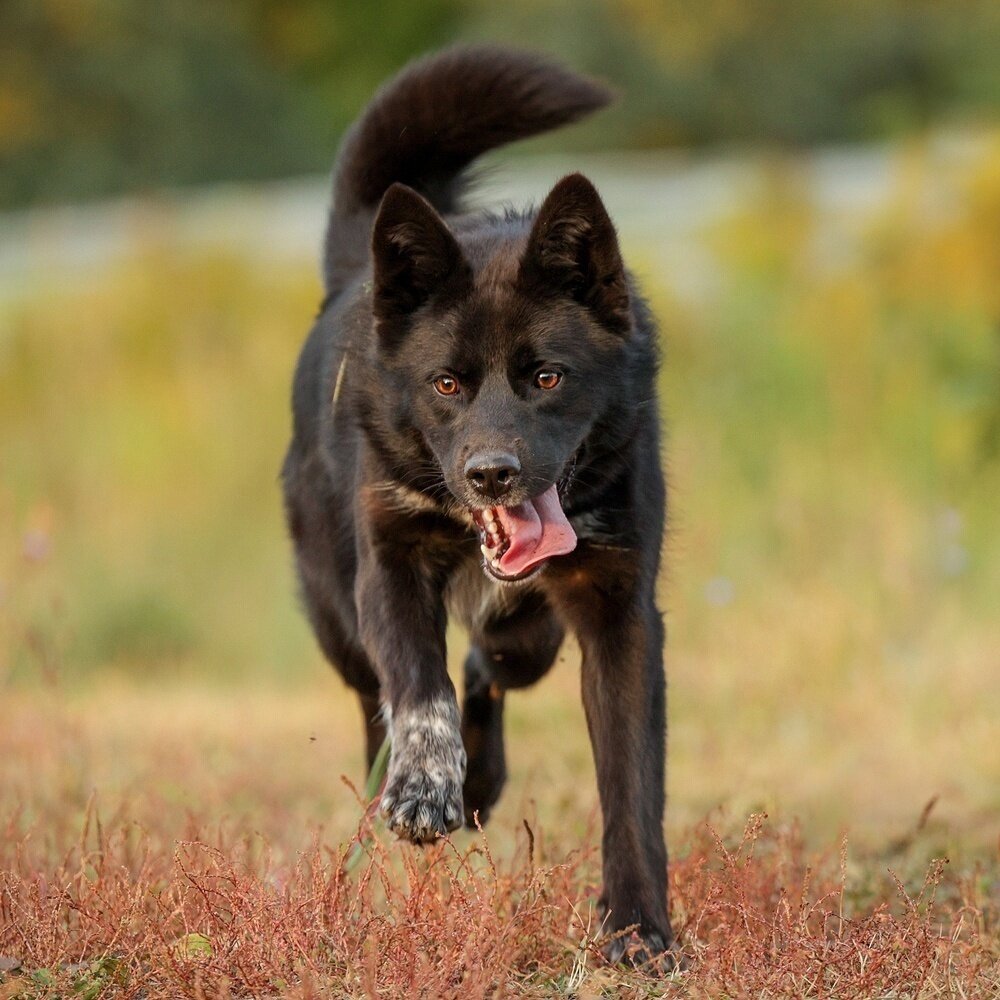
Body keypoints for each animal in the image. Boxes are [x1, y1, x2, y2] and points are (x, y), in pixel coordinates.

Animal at [282, 47, 672, 960]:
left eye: (549, 377)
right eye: (446, 383)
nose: (493, 474)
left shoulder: (620, 608)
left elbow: (630, 788)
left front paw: (639, 931)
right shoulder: (389, 565)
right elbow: (419, 688)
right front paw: (426, 789)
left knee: (499, 660)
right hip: (334, 611)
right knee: (380, 697)